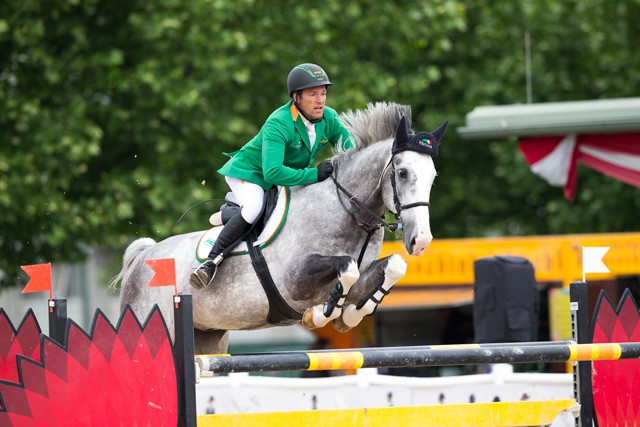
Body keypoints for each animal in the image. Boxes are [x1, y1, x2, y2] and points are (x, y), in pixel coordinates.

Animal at [112, 101, 448, 354]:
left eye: (433, 177)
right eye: (402, 173)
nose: (421, 241)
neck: (349, 212)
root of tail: (142, 258)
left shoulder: (368, 268)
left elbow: (393, 266)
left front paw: (349, 315)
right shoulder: (295, 279)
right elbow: (348, 268)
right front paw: (322, 314)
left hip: (208, 336)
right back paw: (203, 271)